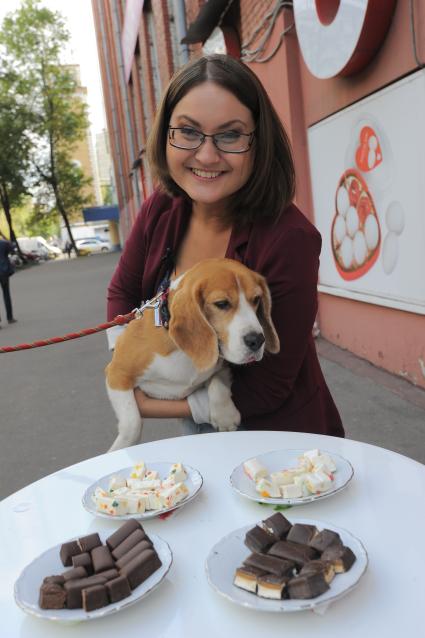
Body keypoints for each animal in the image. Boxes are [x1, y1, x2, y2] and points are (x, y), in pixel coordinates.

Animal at [105, 258, 278, 452]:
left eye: (256, 299)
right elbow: (132, 422)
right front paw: (119, 449)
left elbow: (218, 383)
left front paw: (225, 415)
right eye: (222, 304)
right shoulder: (116, 374)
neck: (182, 351)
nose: (257, 340)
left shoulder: (222, 365)